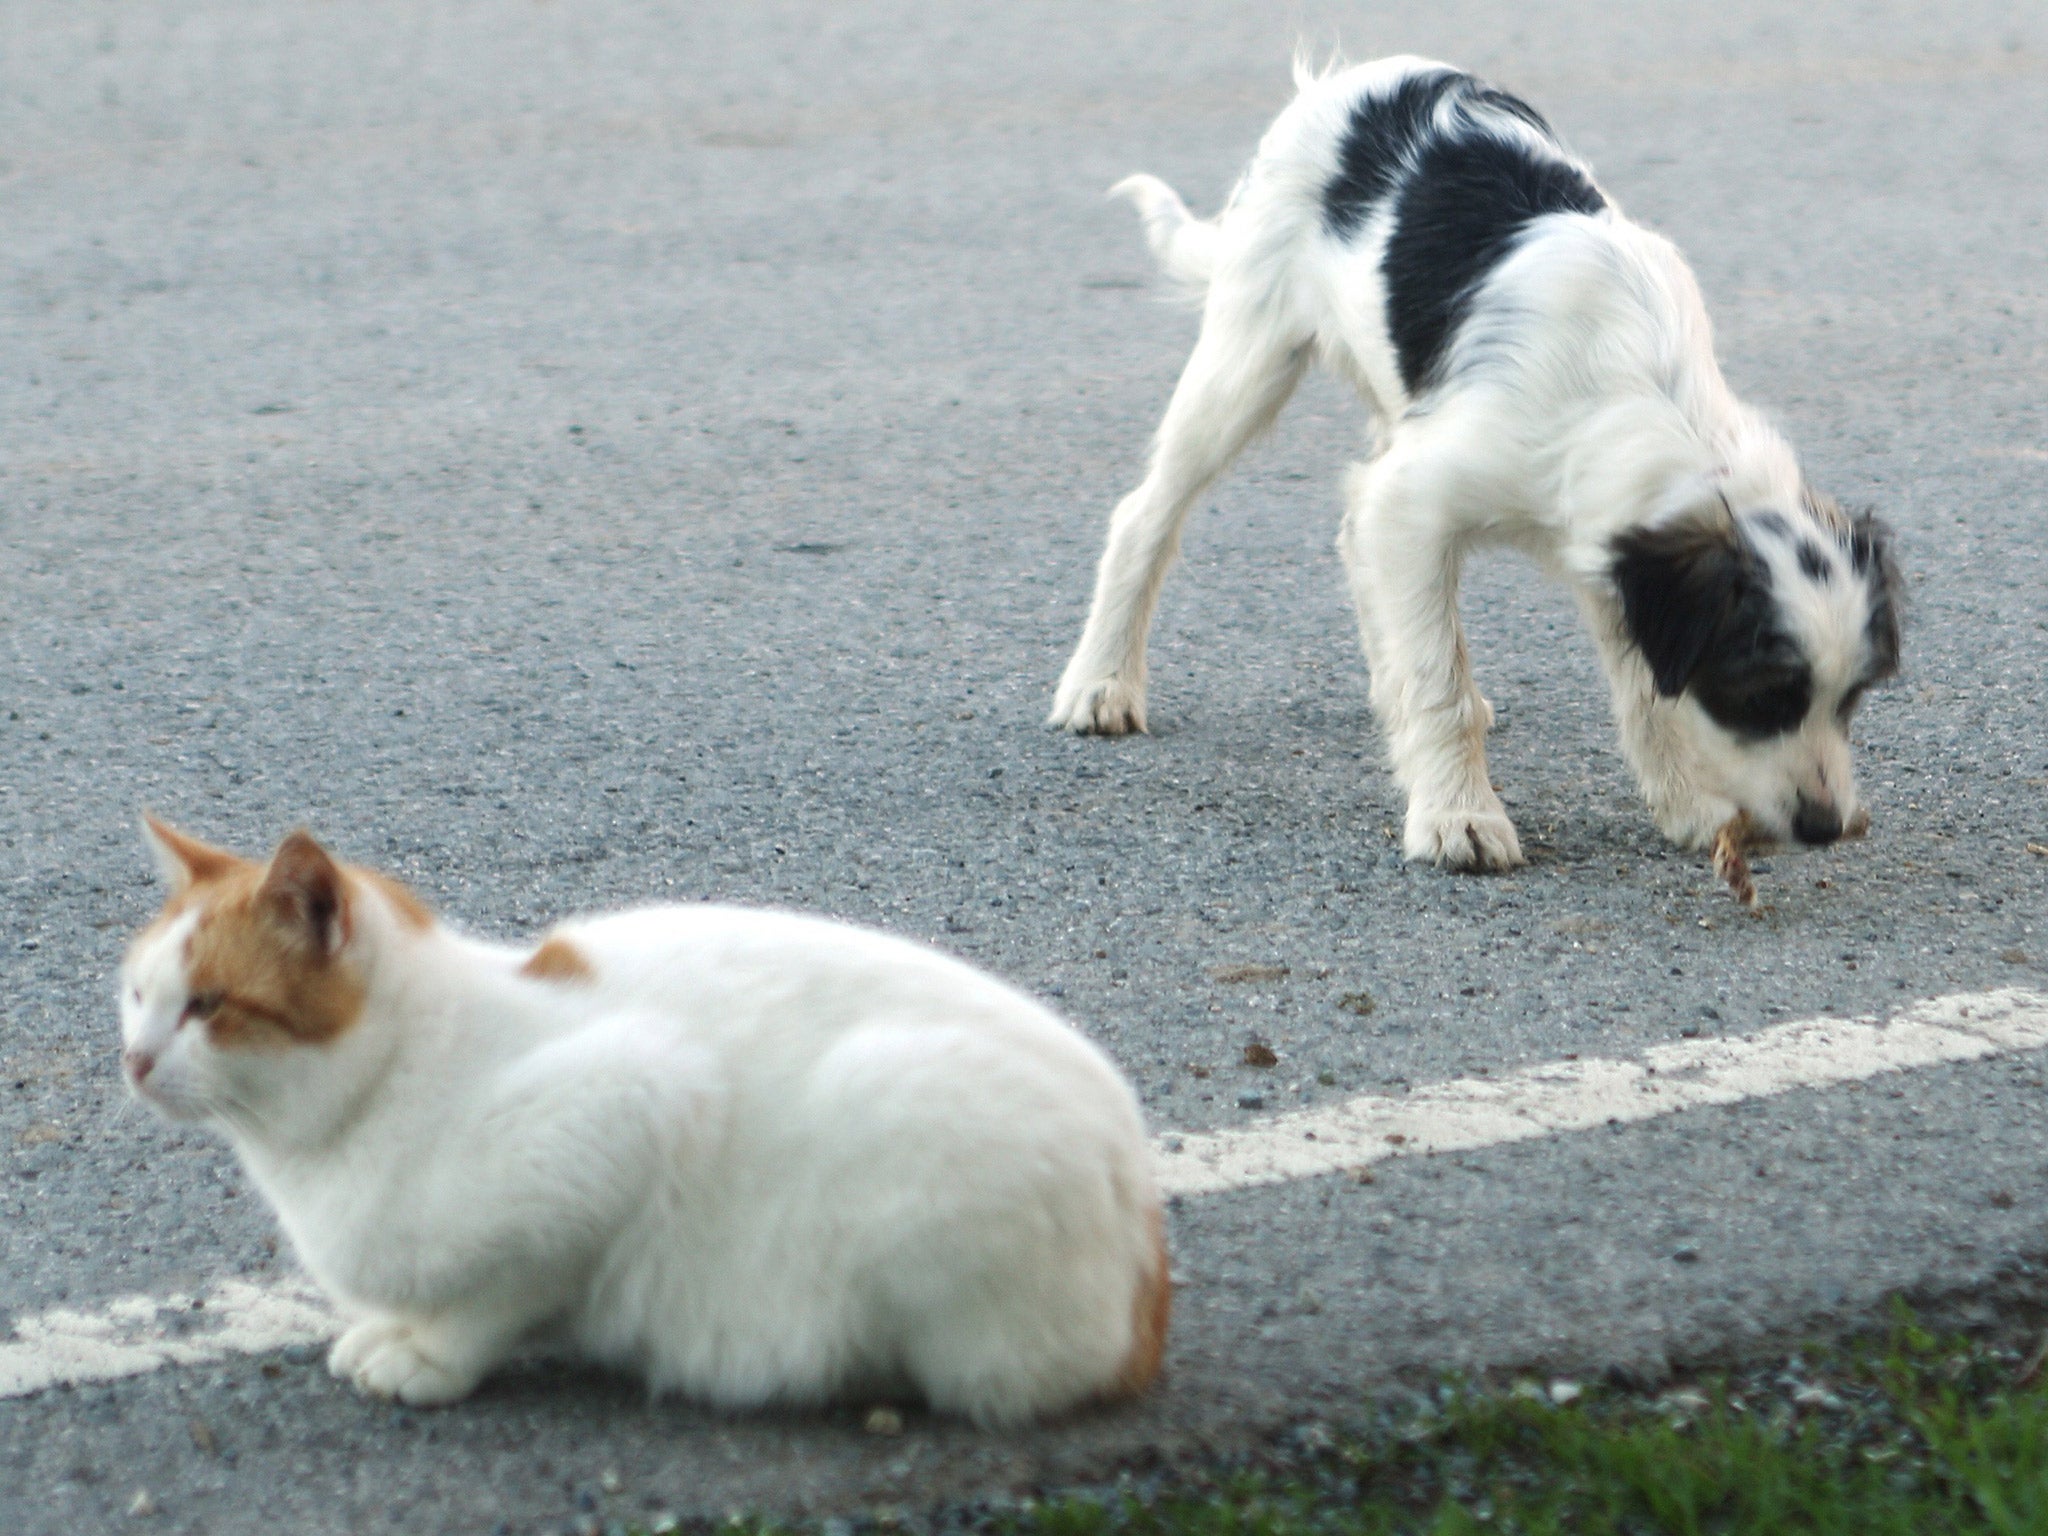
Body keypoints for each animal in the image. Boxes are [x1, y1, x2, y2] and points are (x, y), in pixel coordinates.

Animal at [119, 819, 1171, 1433]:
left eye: (208, 1007)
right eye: (136, 994)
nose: (132, 1060)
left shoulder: (637, 1105)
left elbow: (497, 1297)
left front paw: (427, 1355)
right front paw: (390, 1327)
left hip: (903, 1124)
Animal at [1056, 57, 1900, 876]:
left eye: (1851, 697)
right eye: (1762, 695)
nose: (1827, 828)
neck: (1644, 390)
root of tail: (1341, 80)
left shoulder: (1605, 549)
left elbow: (1646, 692)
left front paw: (1688, 805)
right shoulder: (1422, 500)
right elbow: (1443, 684)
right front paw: (1458, 817)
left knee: (1352, 531)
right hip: (1247, 358)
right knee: (1147, 514)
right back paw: (1101, 684)